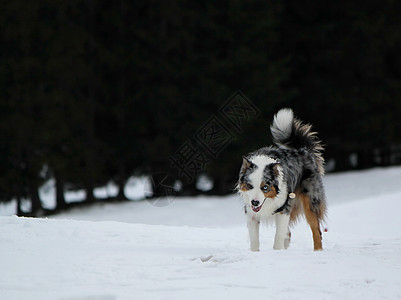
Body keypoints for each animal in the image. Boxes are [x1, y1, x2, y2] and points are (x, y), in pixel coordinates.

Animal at [236, 108, 326, 251]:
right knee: (288, 233)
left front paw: (277, 251)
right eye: (249, 186)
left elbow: (278, 235)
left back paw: (318, 251)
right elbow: (254, 240)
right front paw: (255, 253)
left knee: (316, 231)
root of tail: (302, 150)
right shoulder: (251, 213)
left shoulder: (283, 210)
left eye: (265, 187)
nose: (255, 202)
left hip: (310, 201)